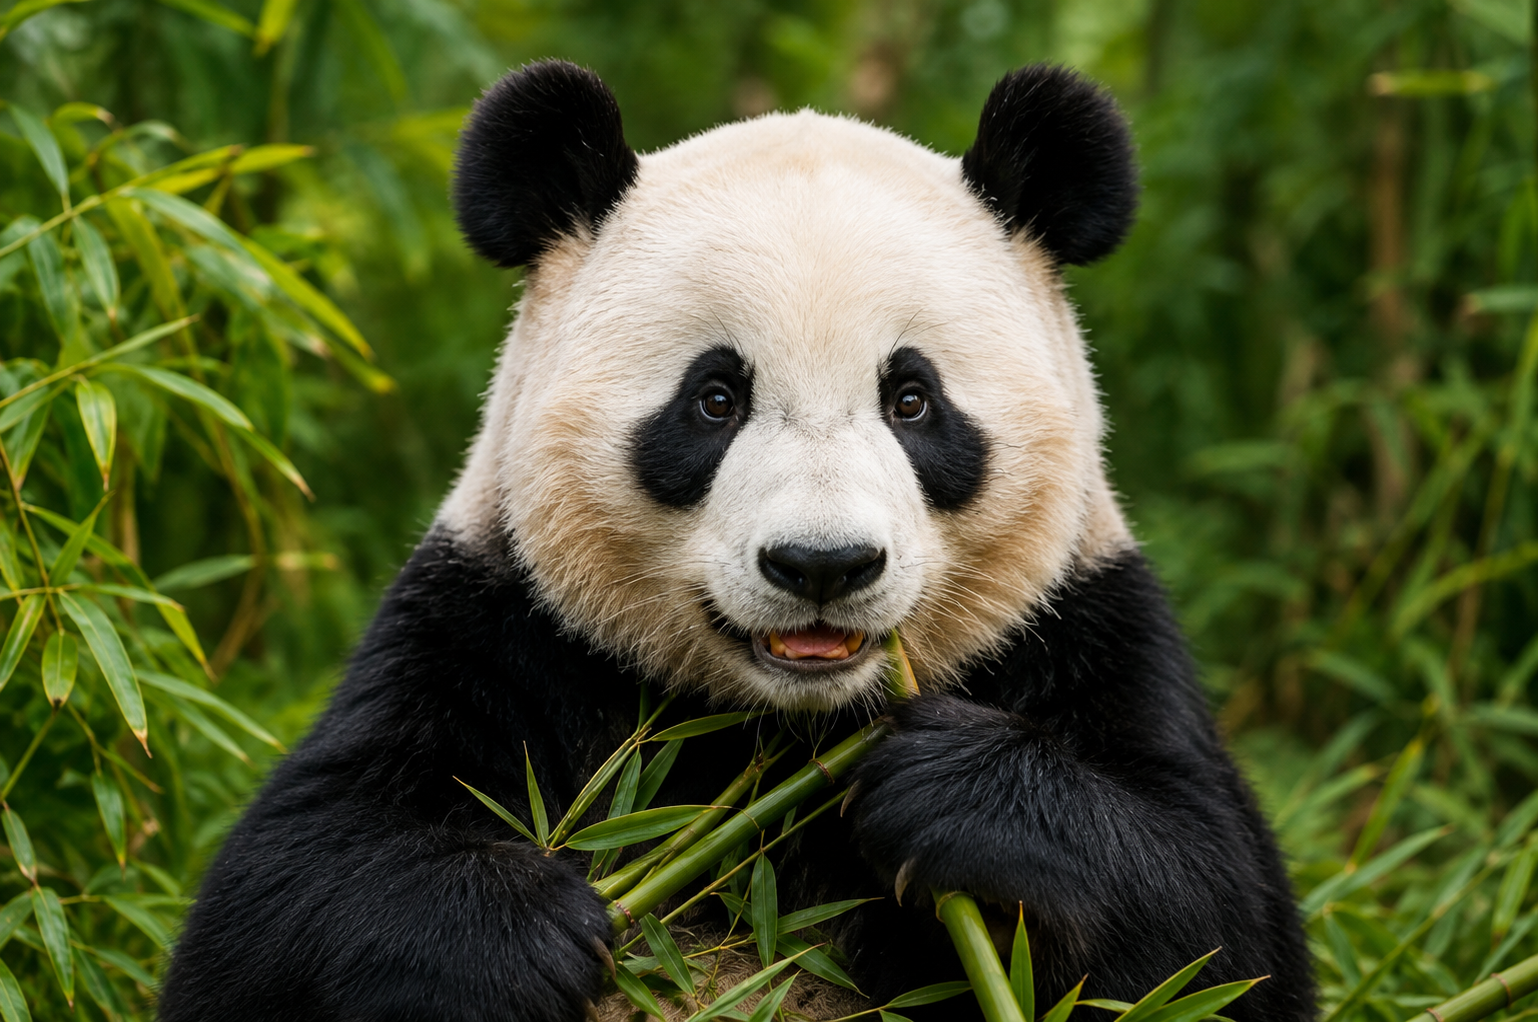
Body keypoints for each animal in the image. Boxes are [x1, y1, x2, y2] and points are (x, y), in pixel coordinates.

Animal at [158, 60, 1315, 1022]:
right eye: (714, 398)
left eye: (911, 399)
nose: (821, 565)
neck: (778, 731)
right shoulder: (494, 626)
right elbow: (283, 893)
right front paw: (528, 924)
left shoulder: (1080, 620)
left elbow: (1212, 917)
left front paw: (952, 791)